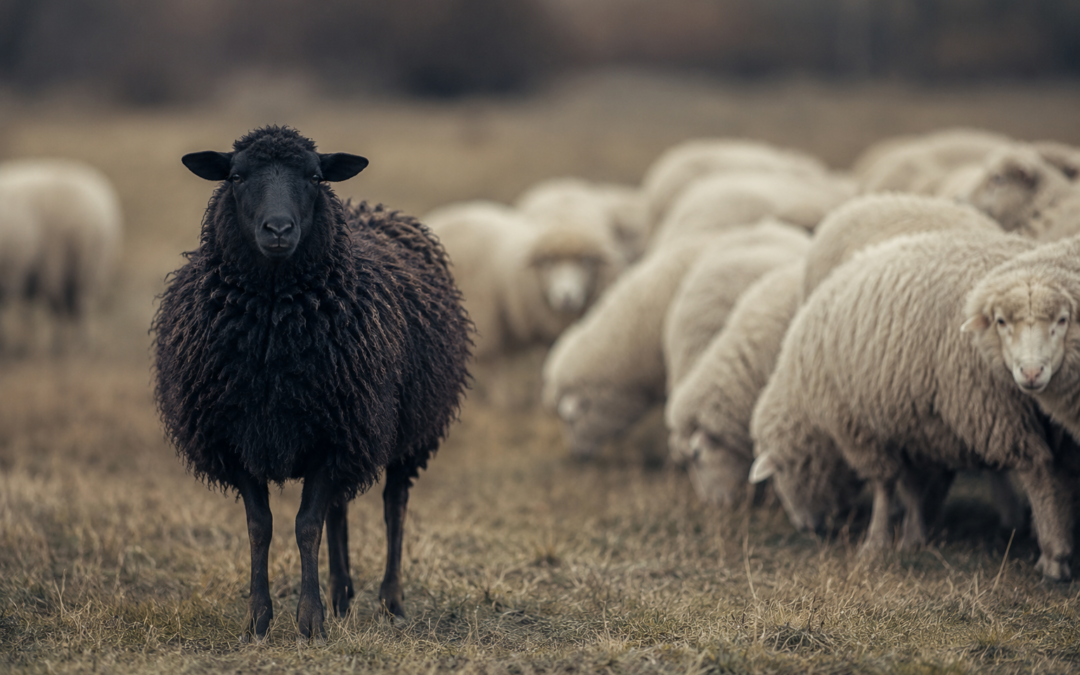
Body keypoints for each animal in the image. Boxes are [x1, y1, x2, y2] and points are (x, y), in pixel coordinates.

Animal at [153, 126, 471, 639]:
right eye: (236, 176)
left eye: (316, 177)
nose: (279, 230)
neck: (271, 331)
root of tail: (365, 206)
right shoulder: (238, 438)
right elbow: (261, 526)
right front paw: (259, 620)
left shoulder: (333, 435)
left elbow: (306, 526)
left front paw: (310, 621)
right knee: (340, 507)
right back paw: (342, 594)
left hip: (407, 430)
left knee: (393, 504)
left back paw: (390, 601)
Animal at [749, 230, 1077, 581]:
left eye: (781, 475)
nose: (804, 527)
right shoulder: (914, 427)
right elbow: (914, 485)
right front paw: (913, 536)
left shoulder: (857, 426)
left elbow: (884, 483)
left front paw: (875, 542)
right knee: (1062, 469)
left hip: (994, 406)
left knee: (1038, 468)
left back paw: (1054, 556)